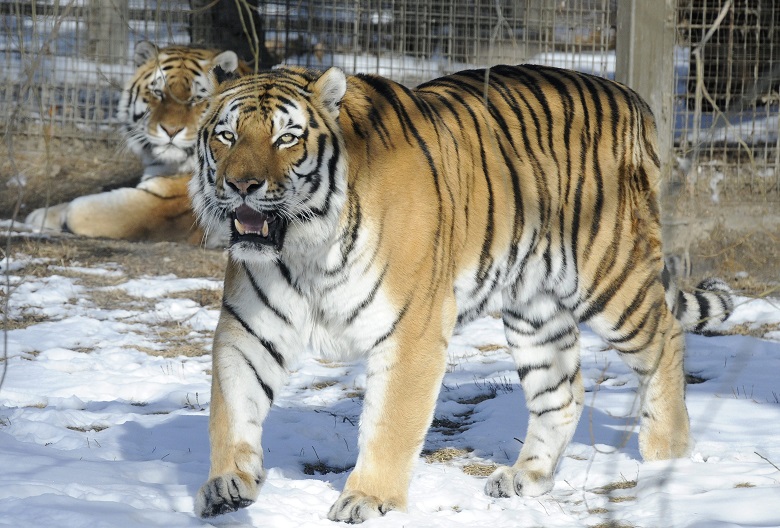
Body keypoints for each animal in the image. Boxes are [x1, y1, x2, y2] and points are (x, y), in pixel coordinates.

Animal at [24, 41, 247, 247]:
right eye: (158, 93)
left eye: (196, 98)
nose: (171, 130)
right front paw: (40, 215)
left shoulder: (163, 205)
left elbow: (82, 210)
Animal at [189, 64, 734, 523]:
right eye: (226, 135)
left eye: (287, 138)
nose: (242, 185)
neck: (304, 247)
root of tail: (630, 95)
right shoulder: (247, 329)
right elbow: (231, 409)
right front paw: (227, 484)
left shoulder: (412, 329)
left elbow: (390, 425)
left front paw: (367, 499)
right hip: (534, 308)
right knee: (561, 392)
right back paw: (526, 476)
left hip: (610, 274)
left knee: (665, 338)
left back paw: (667, 456)